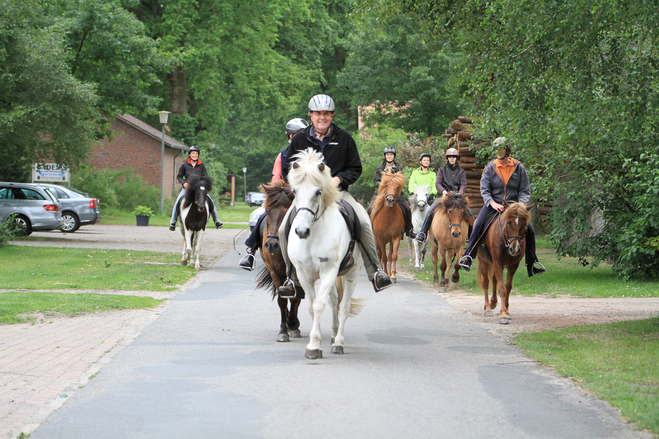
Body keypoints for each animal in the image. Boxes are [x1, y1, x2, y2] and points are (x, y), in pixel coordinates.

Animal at [255, 180, 304, 344]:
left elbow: (295, 298)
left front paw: (293, 324)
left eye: (286, 212)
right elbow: (282, 300)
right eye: (268, 211)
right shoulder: (275, 272)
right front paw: (283, 331)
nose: (271, 245)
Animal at [286, 150, 364, 360]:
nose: (301, 231)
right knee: (335, 300)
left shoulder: (329, 270)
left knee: (344, 306)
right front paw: (317, 341)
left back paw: (338, 342)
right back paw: (334, 335)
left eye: (318, 192)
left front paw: (313, 346)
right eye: (294, 191)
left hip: (352, 273)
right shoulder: (304, 274)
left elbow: (319, 305)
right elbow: (312, 306)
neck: (313, 235)